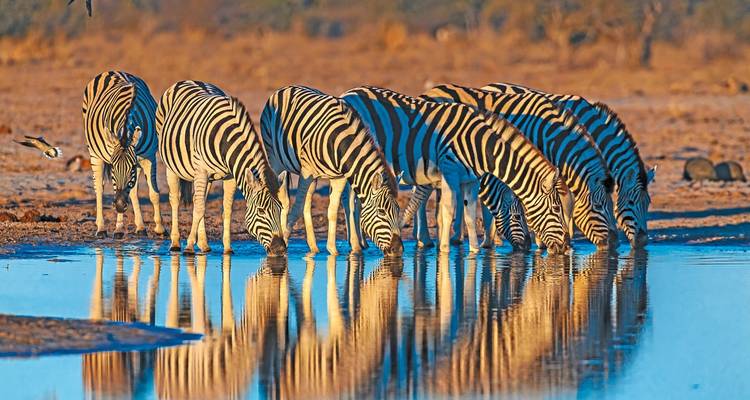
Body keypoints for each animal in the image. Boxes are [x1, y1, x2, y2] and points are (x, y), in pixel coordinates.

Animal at [81, 71, 164, 239]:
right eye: (113, 167)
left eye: (131, 167)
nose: (119, 205)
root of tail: (111, 71)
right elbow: (114, 189)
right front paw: (118, 228)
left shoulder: (148, 157)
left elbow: (153, 193)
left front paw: (159, 228)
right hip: (94, 152)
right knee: (99, 188)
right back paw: (102, 228)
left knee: (132, 191)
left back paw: (140, 227)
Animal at [155, 80, 286, 256]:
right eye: (261, 211)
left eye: (281, 209)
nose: (280, 249)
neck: (226, 140)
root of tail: (188, 81)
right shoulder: (202, 171)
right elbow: (199, 209)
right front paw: (189, 247)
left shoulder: (230, 176)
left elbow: (226, 209)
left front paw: (228, 248)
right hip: (172, 166)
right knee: (175, 199)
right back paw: (175, 243)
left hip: (207, 177)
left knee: (200, 200)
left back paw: (204, 244)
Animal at [260, 85, 403, 256]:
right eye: (381, 212)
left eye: (398, 210)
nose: (398, 250)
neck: (341, 143)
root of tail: (286, 88)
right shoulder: (306, 171)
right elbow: (295, 209)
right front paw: (284, 242)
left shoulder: (338, 177)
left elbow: (332, 211)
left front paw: (333, 251)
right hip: (276, 161)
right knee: (283, 198)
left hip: (312, 178)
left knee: (307, 202)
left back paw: (313, 247)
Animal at [340, 86, 570, 254]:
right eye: (517, 217)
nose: (566, 246)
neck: (480, 145)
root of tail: (348, 93)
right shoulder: (449, 171)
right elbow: (448, 210)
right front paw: (443, 250)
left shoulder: (470, 179)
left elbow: (469, 213)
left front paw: (474, 251)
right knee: (350, 201)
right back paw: (356, 245)